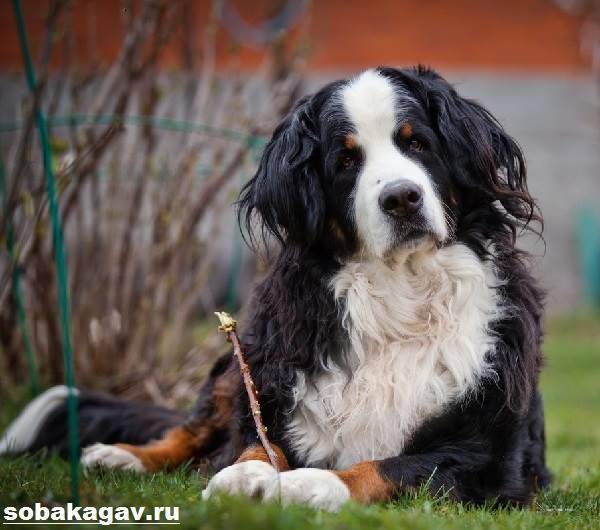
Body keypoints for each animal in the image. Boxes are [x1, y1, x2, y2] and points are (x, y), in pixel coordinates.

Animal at [0, 66, 551, 511]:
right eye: (346, 162)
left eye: (416, 143)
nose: (401, 198)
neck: (401, 292)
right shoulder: (271, 380)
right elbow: (255, 443)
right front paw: (243, 475)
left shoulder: (486, 458)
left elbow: (386, 467)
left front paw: (312, 484)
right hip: (243, 355)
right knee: (191, 430)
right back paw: (122, 456)